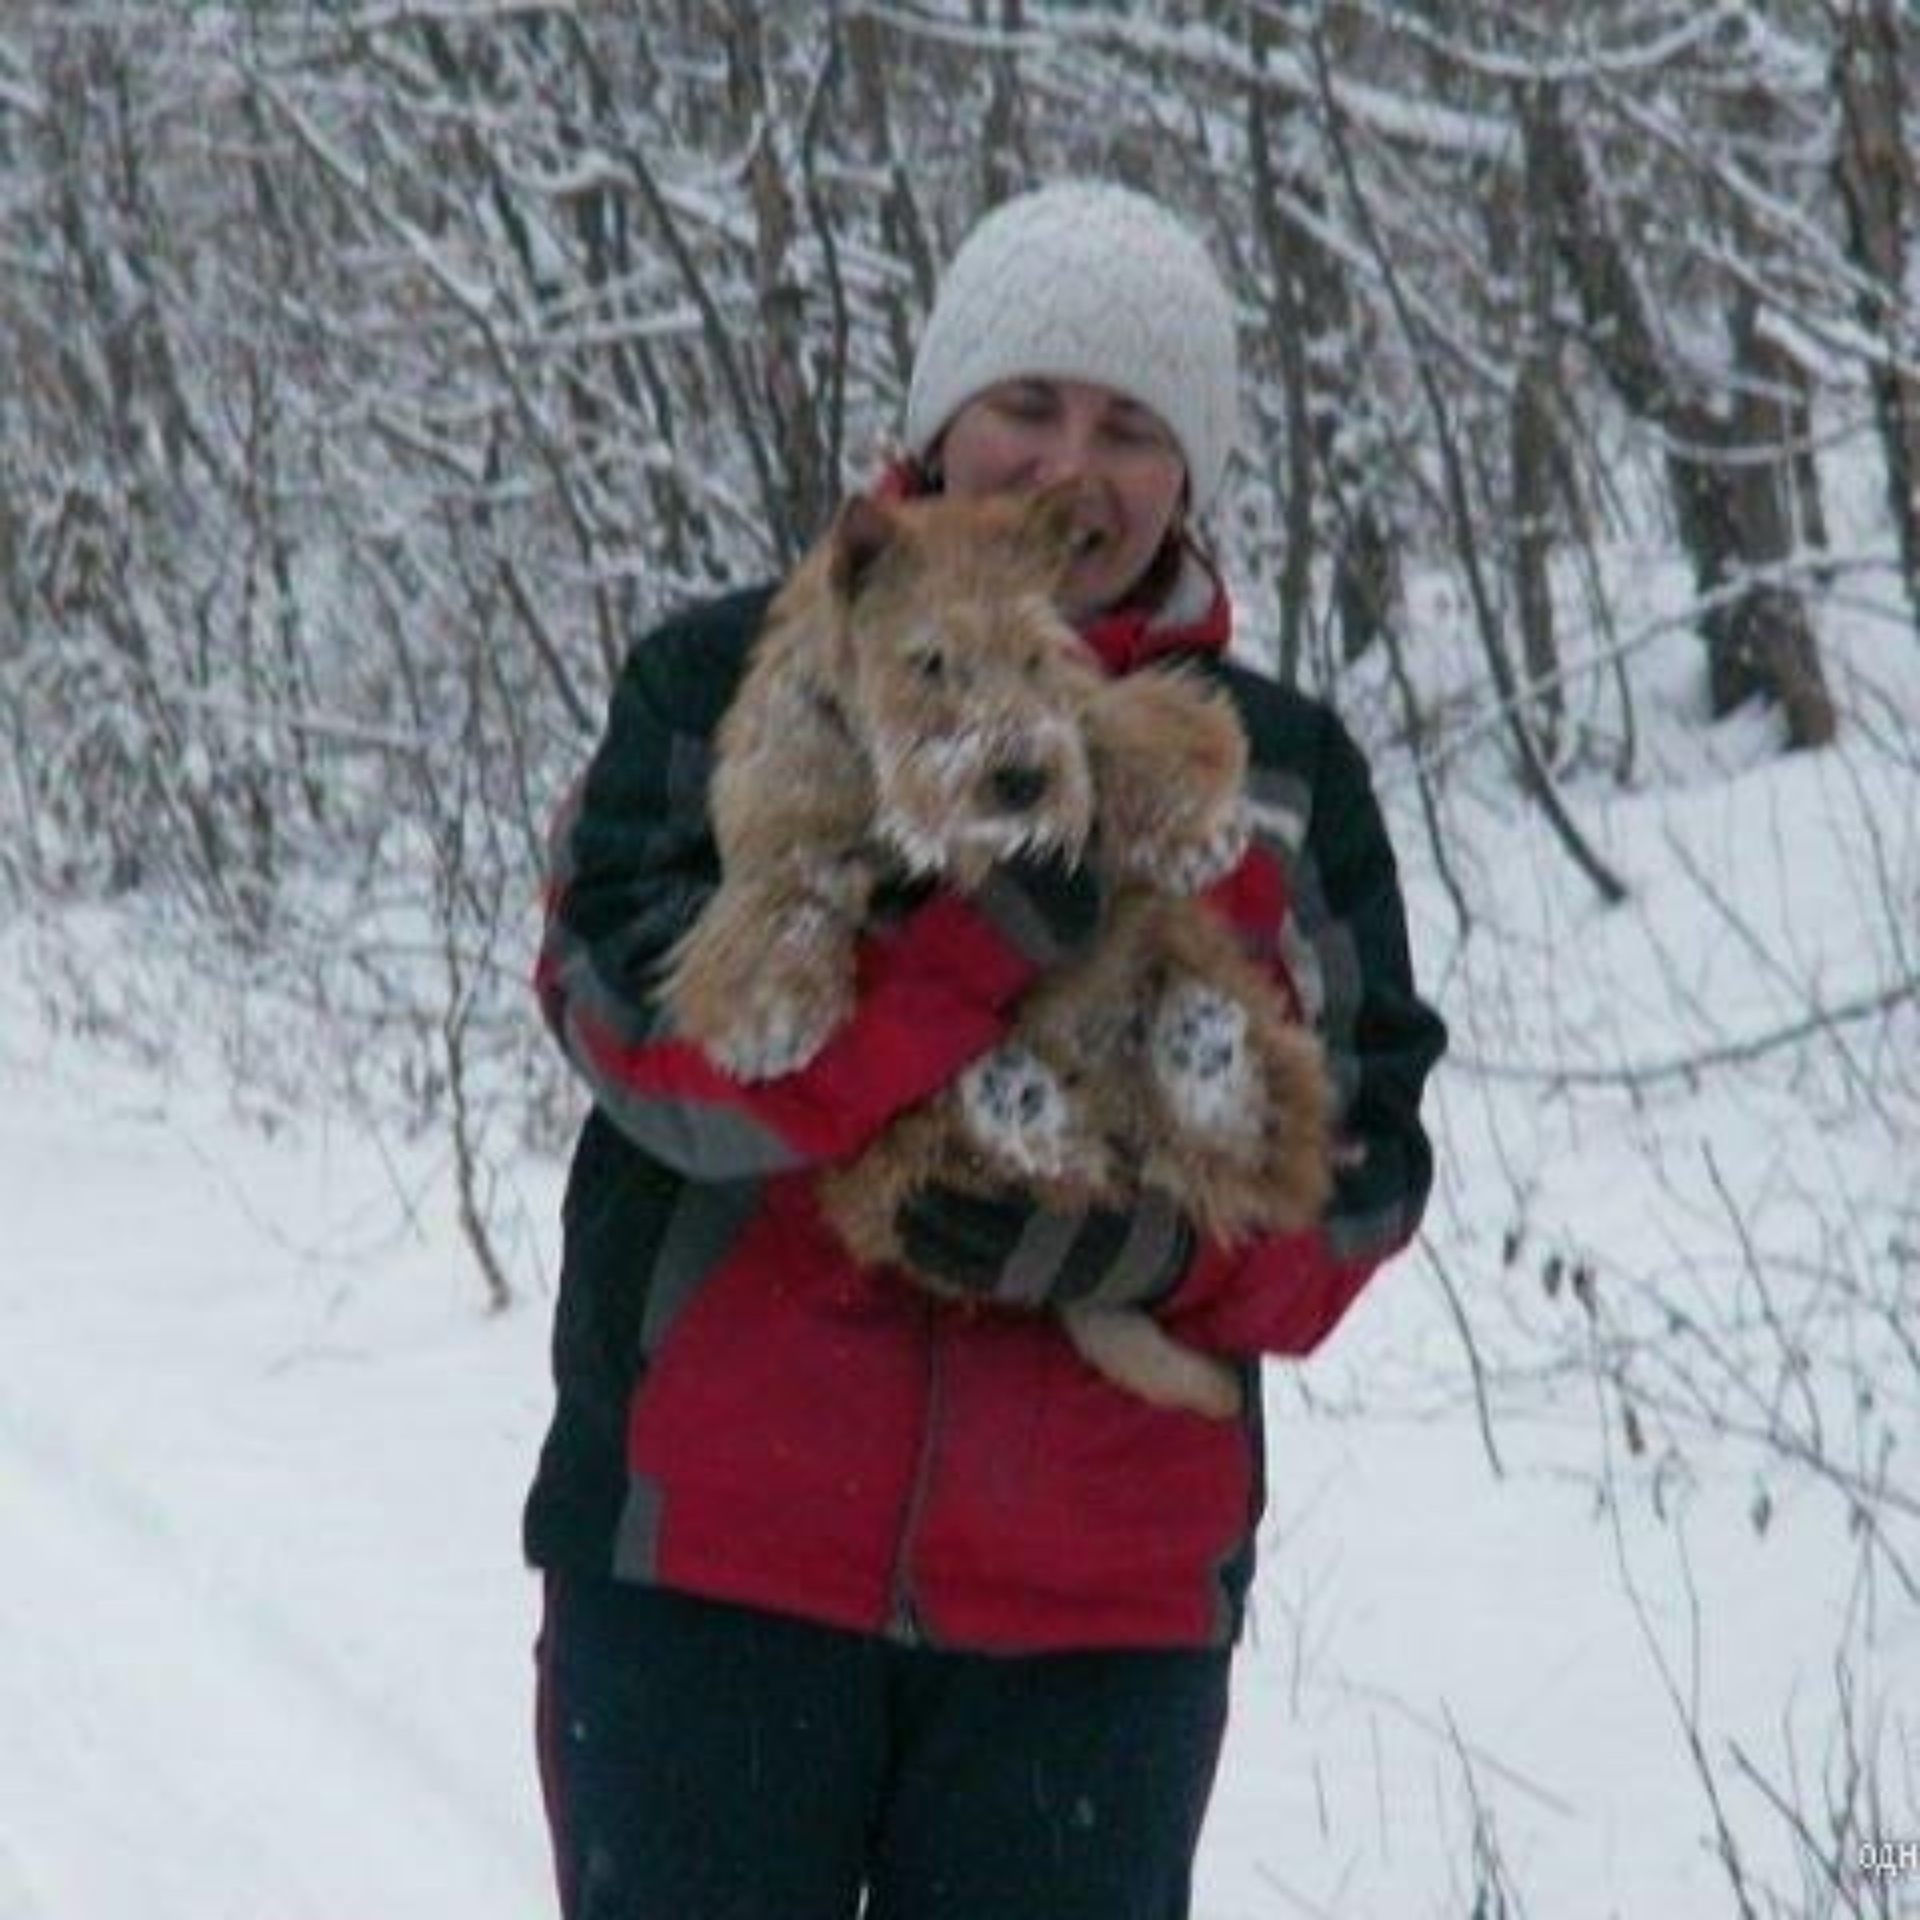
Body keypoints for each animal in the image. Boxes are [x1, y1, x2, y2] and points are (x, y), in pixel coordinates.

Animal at [668, 487, 1328, 1420]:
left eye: (1033, 653)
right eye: (931, 660)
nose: (1019, 781)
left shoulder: (1079, 702)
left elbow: (1116, 723)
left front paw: (1191, 824)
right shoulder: (783, 803)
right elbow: (781, 891)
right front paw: (772, 1008)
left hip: (1207, 971)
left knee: (1256, 1150)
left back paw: (1200, 1055)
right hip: (881, 1167)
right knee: (997, 1155)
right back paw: (1018, 1102)